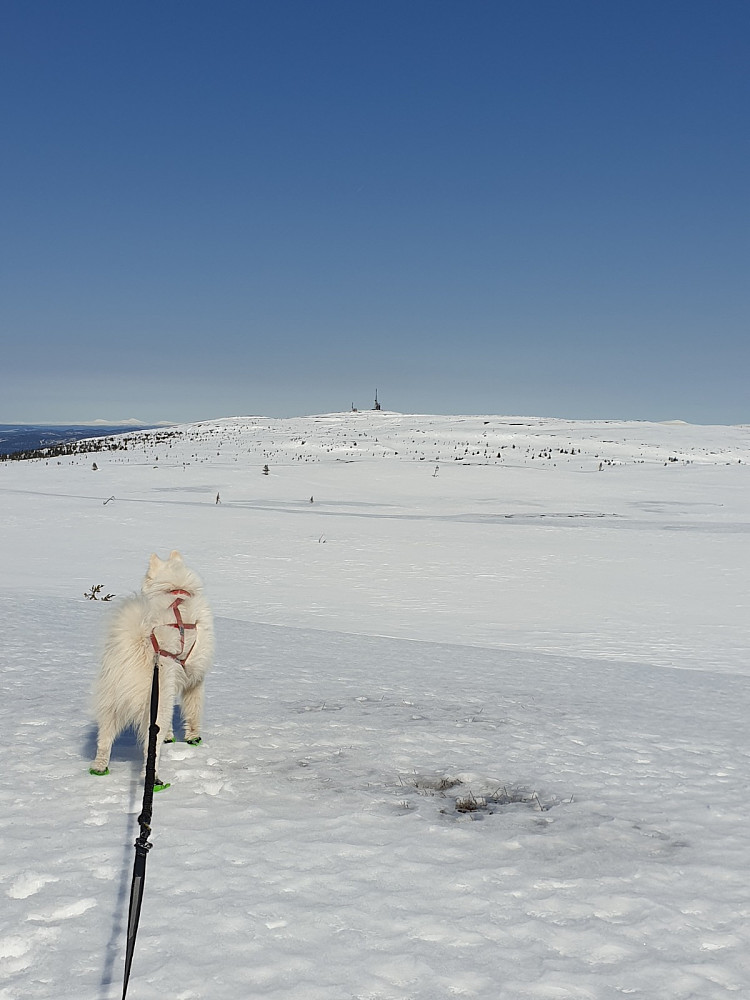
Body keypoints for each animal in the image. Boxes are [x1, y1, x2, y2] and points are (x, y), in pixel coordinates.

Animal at [90, 548, 217, 788]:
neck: (176, 590)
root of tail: (139, 643)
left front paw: (171, 737)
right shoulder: (195, 678)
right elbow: (194, 711)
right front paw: (193, 738)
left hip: (111, 704)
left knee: (104, 740)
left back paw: (99, 768)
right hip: (158, 708)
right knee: (151, 750)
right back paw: (156, 780)